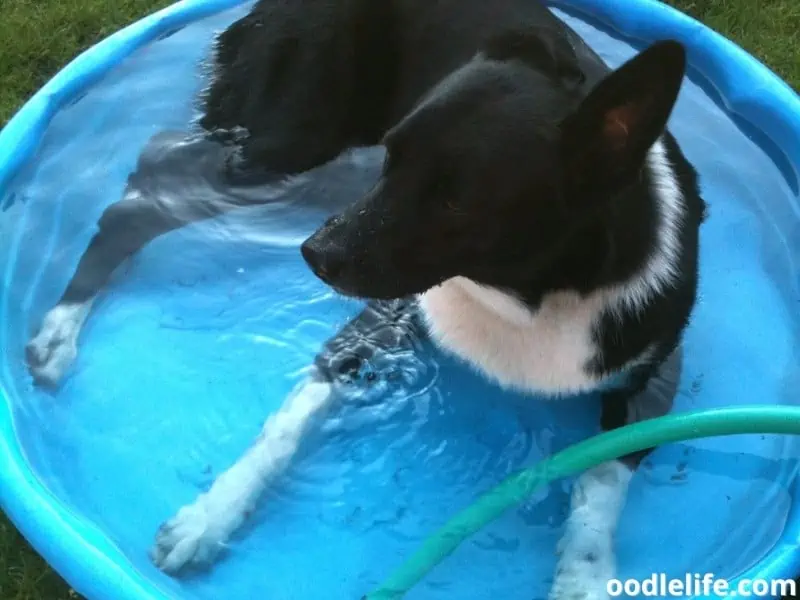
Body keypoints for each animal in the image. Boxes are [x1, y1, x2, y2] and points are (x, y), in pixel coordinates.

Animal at [21, 0, 704, 596]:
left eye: (457, 199)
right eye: (394, 158)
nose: (312, 254)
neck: (525, 296)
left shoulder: (655, 376)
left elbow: (602, 480)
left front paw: (584, 577)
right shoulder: (384, 317)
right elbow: (288, 420)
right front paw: (211, 516)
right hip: (287, 151)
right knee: (146, 185)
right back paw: (59, 329)